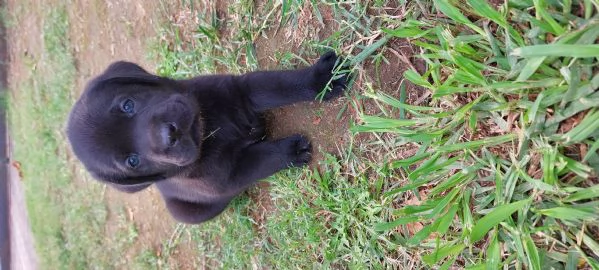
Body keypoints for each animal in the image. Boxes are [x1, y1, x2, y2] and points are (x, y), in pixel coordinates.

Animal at [67, 52, 346, 224]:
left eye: (127, 105)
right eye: (132, 162)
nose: (169, 134)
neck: (206, 127)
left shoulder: (238, 90)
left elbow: (279, 85)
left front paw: (322, 80)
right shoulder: (228, 175)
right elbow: (264, 158)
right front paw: (292, 150)